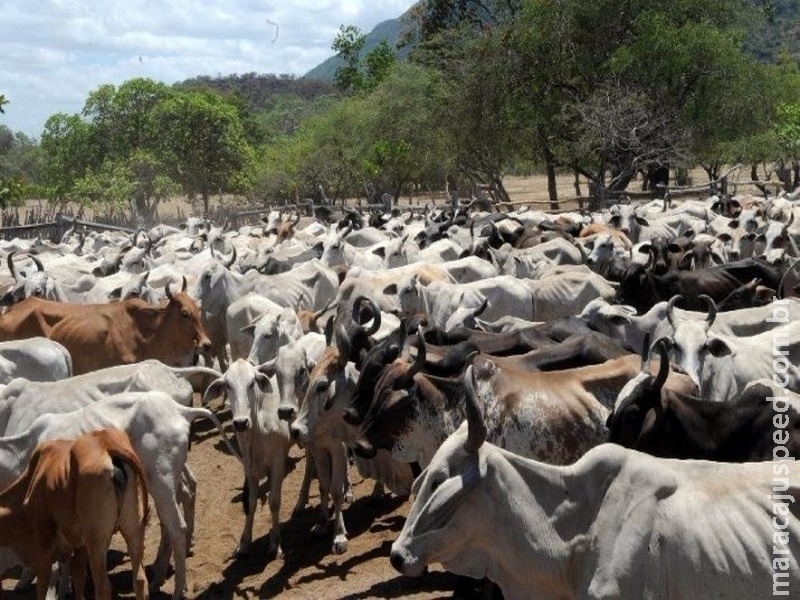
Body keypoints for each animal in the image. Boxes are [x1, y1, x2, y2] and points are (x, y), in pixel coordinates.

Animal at [0, 428, 149, 596]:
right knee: (139, 579)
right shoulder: (80, 543)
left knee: (103, 587)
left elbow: (43, 584)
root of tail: (107, 444)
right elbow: (78, 576)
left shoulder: (44, 542)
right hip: (134, 530)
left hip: (96, 540)